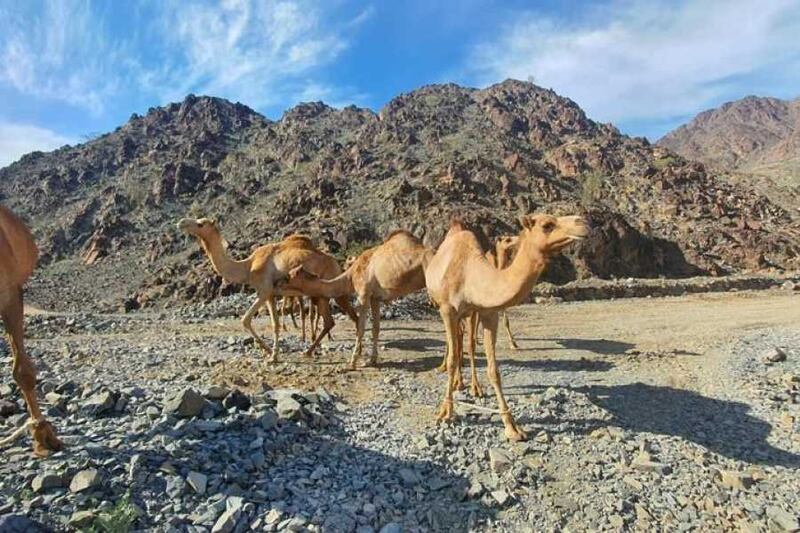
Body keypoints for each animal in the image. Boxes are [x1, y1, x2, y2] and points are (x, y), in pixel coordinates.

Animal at [424, 213, 588, 440]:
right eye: (547, 225)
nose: (583, 223)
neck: (470, 276)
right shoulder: (448, 310)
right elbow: (452, 360)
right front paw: (445, 412)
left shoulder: (487, 313)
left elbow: (493, 369)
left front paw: (512, 427)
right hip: (444, 308)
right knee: (454, 346)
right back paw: (456, 382)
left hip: (468, 315)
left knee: (464, 342)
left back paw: (466, 384)